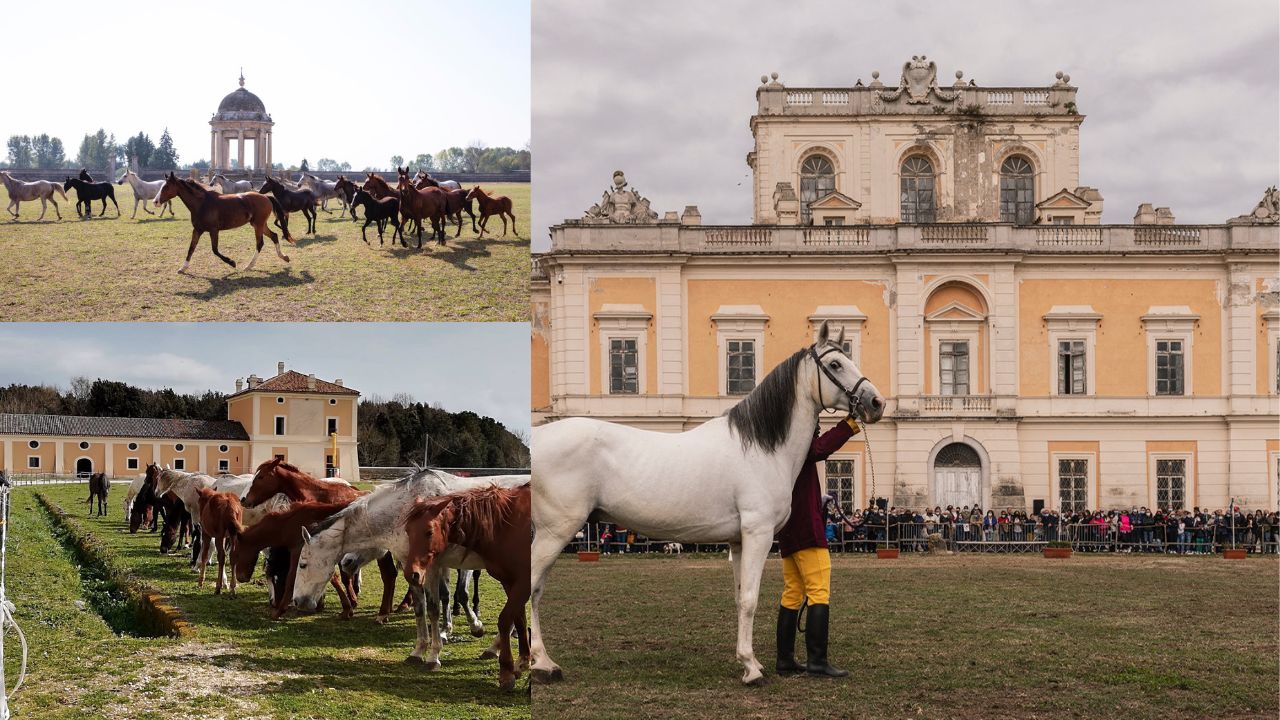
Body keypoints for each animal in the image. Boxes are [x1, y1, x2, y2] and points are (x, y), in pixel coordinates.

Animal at [154, 172, 293, 272]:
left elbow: (215, 250)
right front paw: (183, 268)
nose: (155, 202)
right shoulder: (197, 230)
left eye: (166, 187)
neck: (202, 203)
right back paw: (284, 257)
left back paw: (248, 266)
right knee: (274, 236)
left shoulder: (213, 231)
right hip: (259, 224)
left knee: (260, 243)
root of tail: (266, 197)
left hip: (258, 225)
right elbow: (191, 248)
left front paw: (232, 263)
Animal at [293, 468, 527, 666]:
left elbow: (434, 607)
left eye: (302, 564)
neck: (405, 512)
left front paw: (434, 655)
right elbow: (420, 608)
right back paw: (494, 648)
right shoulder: (411, 569)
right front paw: (418, 651)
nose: (298, 602)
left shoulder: (431, 568)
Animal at [407, 481, 532, 691]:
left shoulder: (524, 580)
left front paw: (506, 672)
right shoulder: (510, 581)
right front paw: (523, 661)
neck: (506, 524)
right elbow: (519, 618)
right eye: (408, 531)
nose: (412, 574)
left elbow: (505, 619)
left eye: (428, 532)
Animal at [529, 320, 890, 681]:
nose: (876, 403)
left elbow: (739, 597)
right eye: (835, 364)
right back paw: (541, 664)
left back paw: (541, 662)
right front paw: (751, 670)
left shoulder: (739, 541)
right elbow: (750, 598)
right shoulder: (758, 534)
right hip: (556, 532)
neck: (762, 447)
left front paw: (749, 660)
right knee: (530, 585)